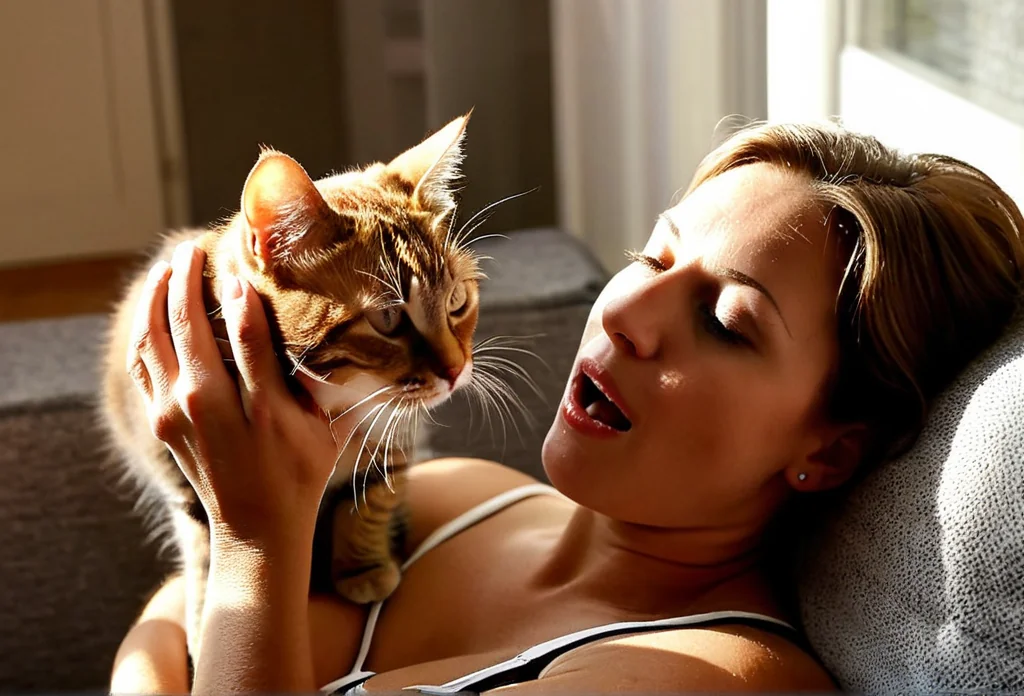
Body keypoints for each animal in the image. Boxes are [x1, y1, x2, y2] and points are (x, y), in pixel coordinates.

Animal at [99, 112, 483, 659]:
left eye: (456, 302)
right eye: (388, 319)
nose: (455, 370)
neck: (345, 398)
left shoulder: (393, 437)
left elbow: (370, 496)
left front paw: (364, 567)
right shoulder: (181, 484)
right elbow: (206, 550)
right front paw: (205, 622)